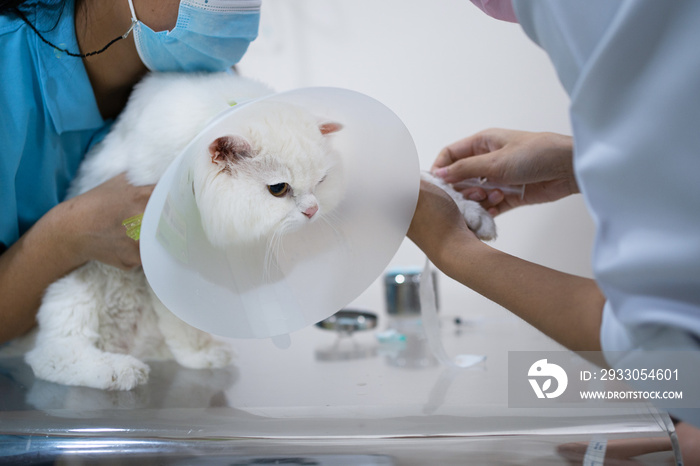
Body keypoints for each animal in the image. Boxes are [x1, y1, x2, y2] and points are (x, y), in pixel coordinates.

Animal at [24, 72, 344, 390]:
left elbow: (184, 323)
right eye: (278, 189)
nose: (312, 210)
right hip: (76, 291)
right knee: (51, 355)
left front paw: (201, 354)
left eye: (321, 182)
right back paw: (121, 371)